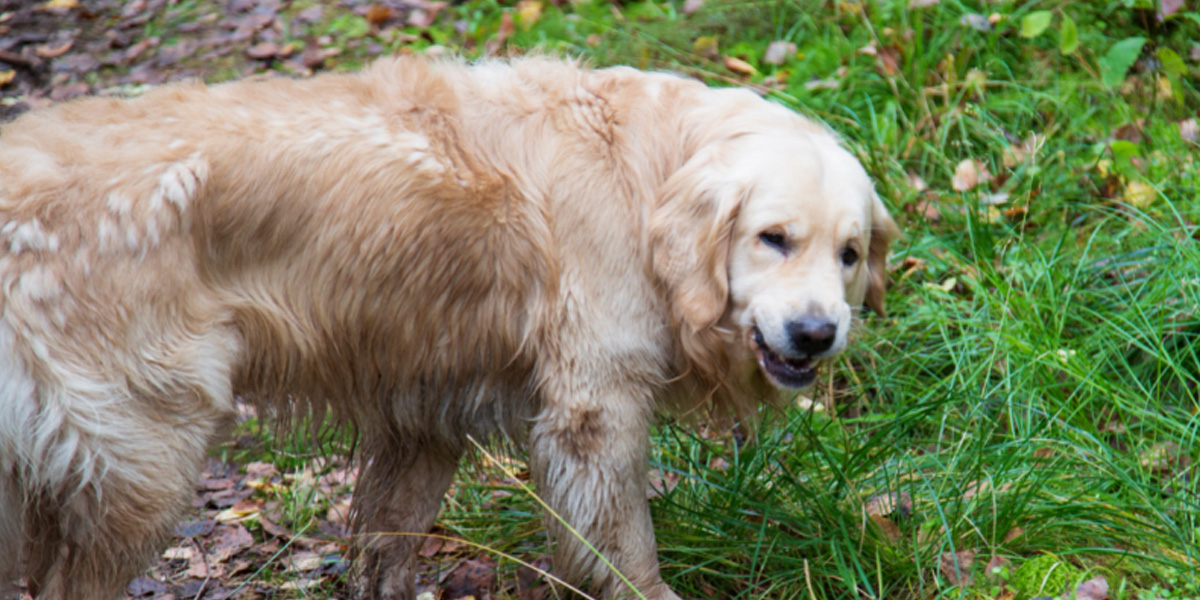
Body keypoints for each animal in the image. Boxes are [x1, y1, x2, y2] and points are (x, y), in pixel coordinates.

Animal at [0, 55, 902, 595]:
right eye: (772, 238)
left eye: (850, 253)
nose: (818, 334)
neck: (645, 176)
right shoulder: (596, 409)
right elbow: (624, 543)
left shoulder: (424, 412)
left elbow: (388, 536)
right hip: (145, 459)